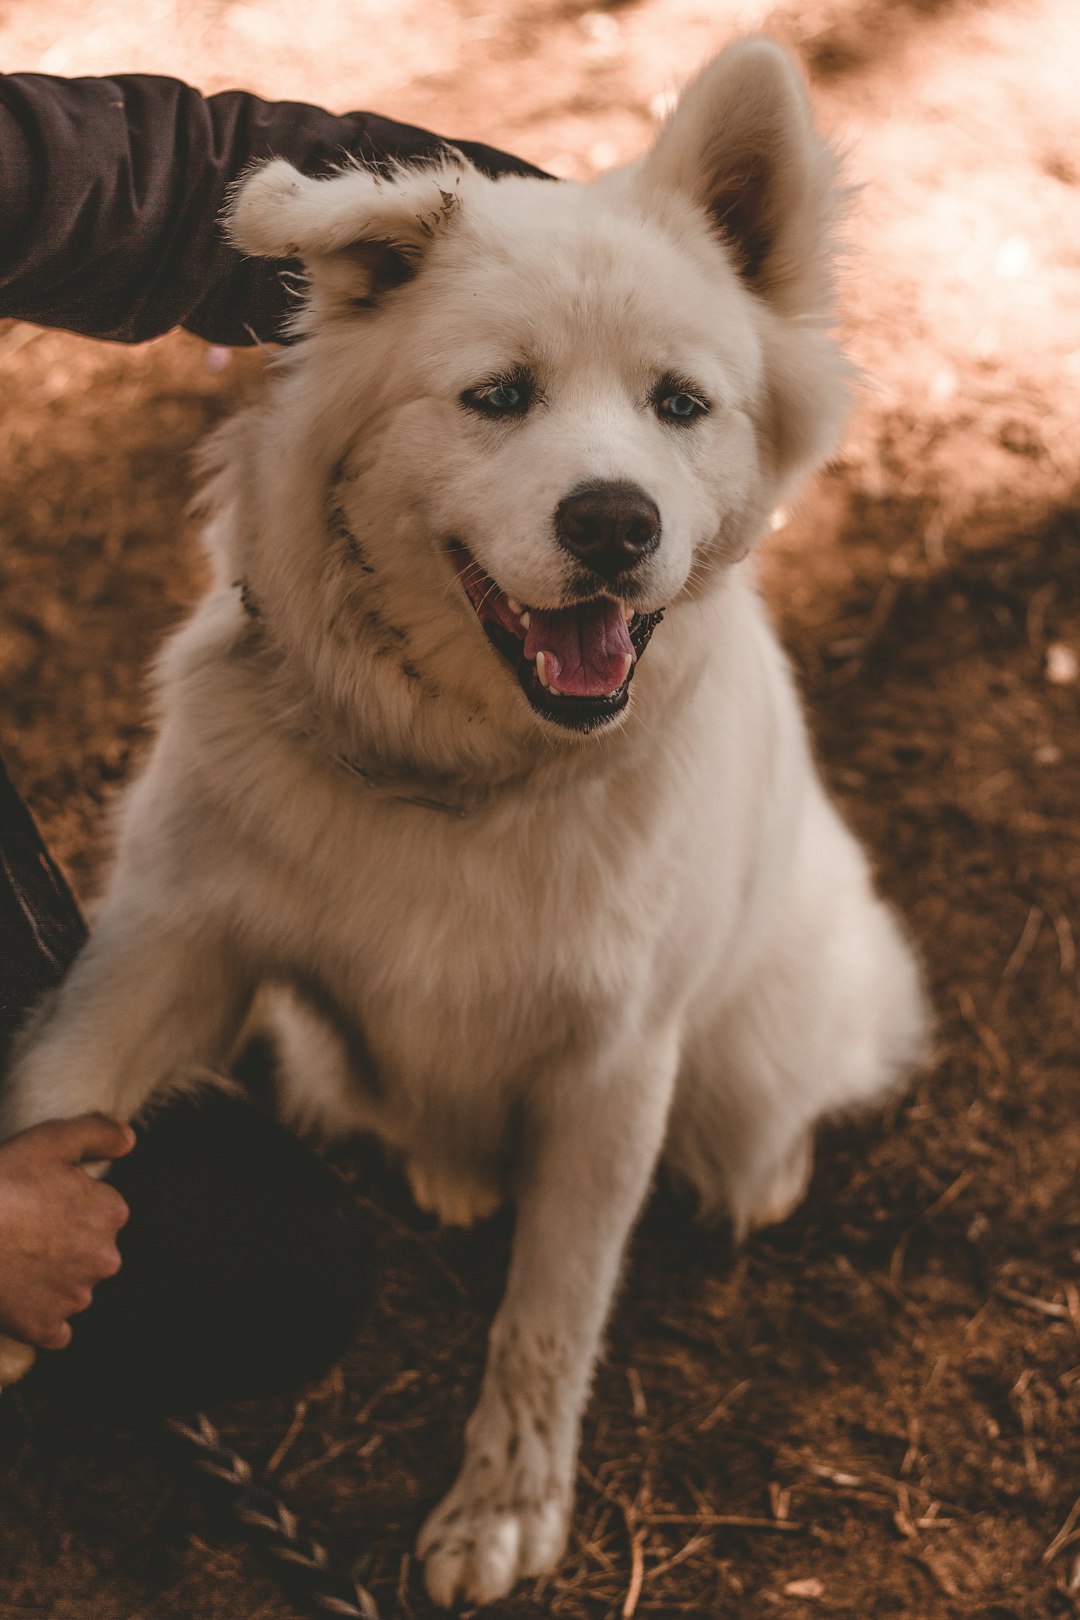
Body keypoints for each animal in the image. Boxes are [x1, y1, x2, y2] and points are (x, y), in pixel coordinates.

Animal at [0, 38, 932, 1607]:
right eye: (497, 396)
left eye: (681, 405)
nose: (616, 523)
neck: (464, 776)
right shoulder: (167, 949)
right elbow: (51, 1102)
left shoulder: (616, 1068)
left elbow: (552, 1311)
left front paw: (503, 1510)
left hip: (755, 1043)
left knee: (779, 1105)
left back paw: (765, 1172)